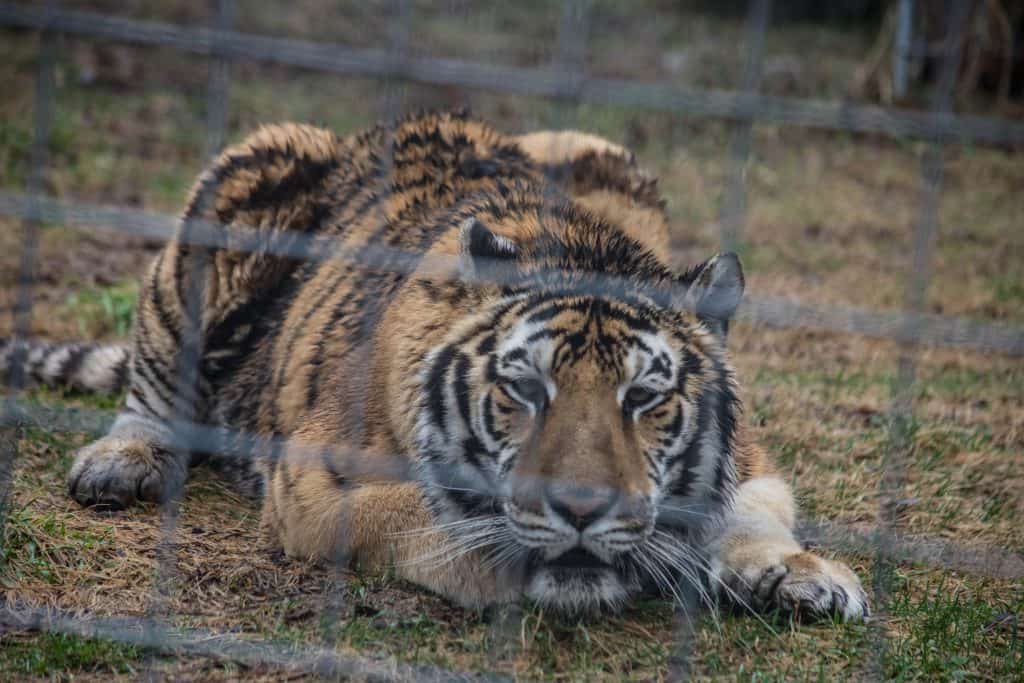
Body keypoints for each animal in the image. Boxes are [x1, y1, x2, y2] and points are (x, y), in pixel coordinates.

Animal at [0, 109, 868, 618]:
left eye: (646, 399)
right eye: (526, 389)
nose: (582, 508)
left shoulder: (749, 456)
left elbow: (750, 509)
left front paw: (805, 575)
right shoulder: (317, 479)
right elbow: (431, 521)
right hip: (254, 165)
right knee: (156, 376)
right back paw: (120, 461)